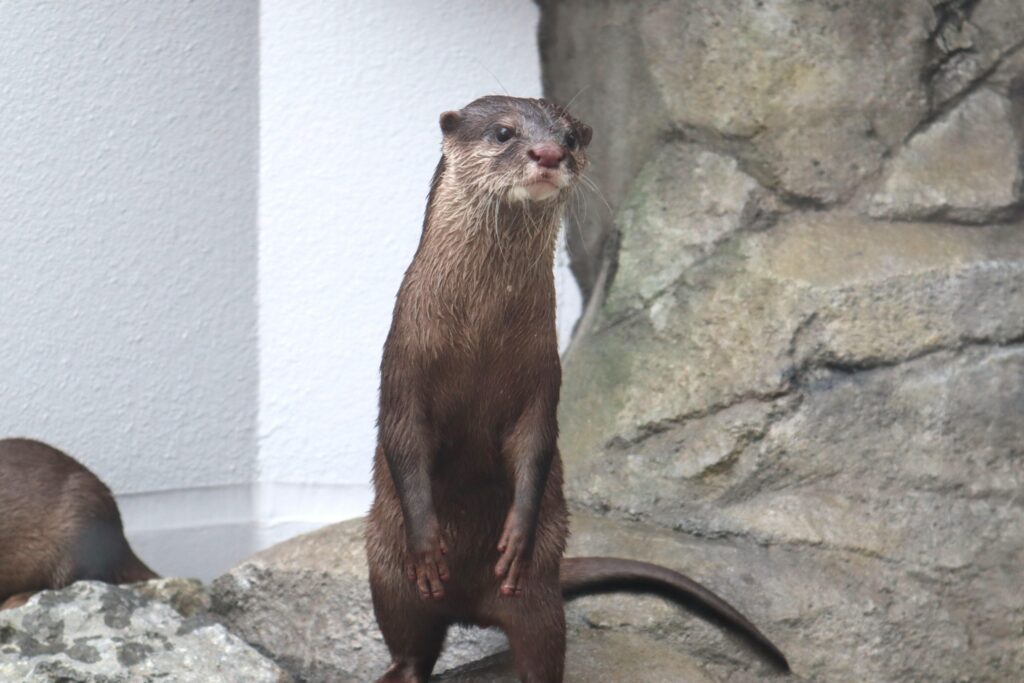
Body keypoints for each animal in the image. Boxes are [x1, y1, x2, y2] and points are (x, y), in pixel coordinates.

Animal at [366, 97, 790, 683]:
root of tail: (472, 607)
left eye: (569, 137)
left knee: (541, 646)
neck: (477, 335)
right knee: (410, 642)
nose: (548, 152)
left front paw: (515, 537)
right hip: (385, 572)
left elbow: (535, 446)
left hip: (539, 597)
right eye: (504, 132)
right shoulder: (404, 365)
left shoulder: (543, 376)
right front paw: (429, 545)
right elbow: (405, 441)